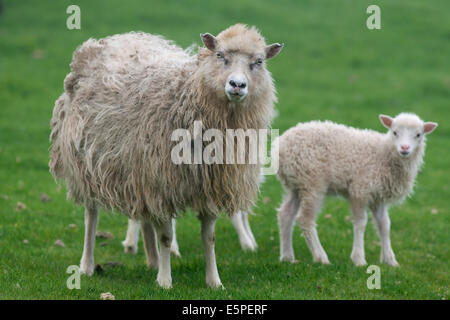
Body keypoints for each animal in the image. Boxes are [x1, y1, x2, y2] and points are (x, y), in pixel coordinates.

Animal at [48, 23, 282, 288]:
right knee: (91, 215)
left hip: (138, 173)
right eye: (220, 55)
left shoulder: (209, 187)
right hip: (86, 163)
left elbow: (209, 238)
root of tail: (122, 36)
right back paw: (87, 265)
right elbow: (167, 237)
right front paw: (165, 281)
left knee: (143, 217)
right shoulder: (162, 184)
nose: (237, 85)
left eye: (259, 62)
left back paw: (151, 259)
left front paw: (214, 281)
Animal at [276, 114, 438, 266]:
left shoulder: (378, 197)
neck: (383, 153)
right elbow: (361, 223)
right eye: (395, 132)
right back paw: (321, 257)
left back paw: (287, 256)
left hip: (296, 184)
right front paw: (359, 258)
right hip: (312, 181)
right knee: (305, 219)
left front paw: (390, 261)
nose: (405, 148)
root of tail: (281, 146)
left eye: (418, 135)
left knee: (286, 214)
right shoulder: (360, 190)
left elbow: (385, 225)